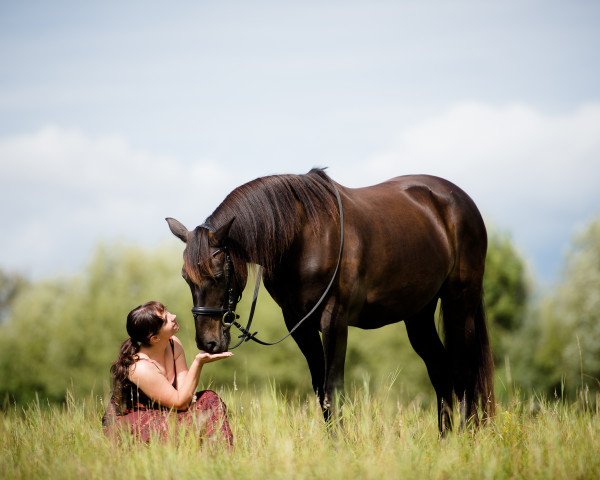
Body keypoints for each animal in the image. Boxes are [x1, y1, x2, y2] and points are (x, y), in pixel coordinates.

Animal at [166, 168, 494, 432]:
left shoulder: (334, 321)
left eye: (220, 273)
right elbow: (319, 389)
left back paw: (466, 437)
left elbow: (333, 387)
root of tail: (458, 201)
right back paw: (445, 439)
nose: (208, 343)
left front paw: (342, 445)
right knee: (441, 371)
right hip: (419, 314)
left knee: (464, 371)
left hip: (459, 302)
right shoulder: (300, 325)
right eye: (185, 277)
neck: (305, 236)